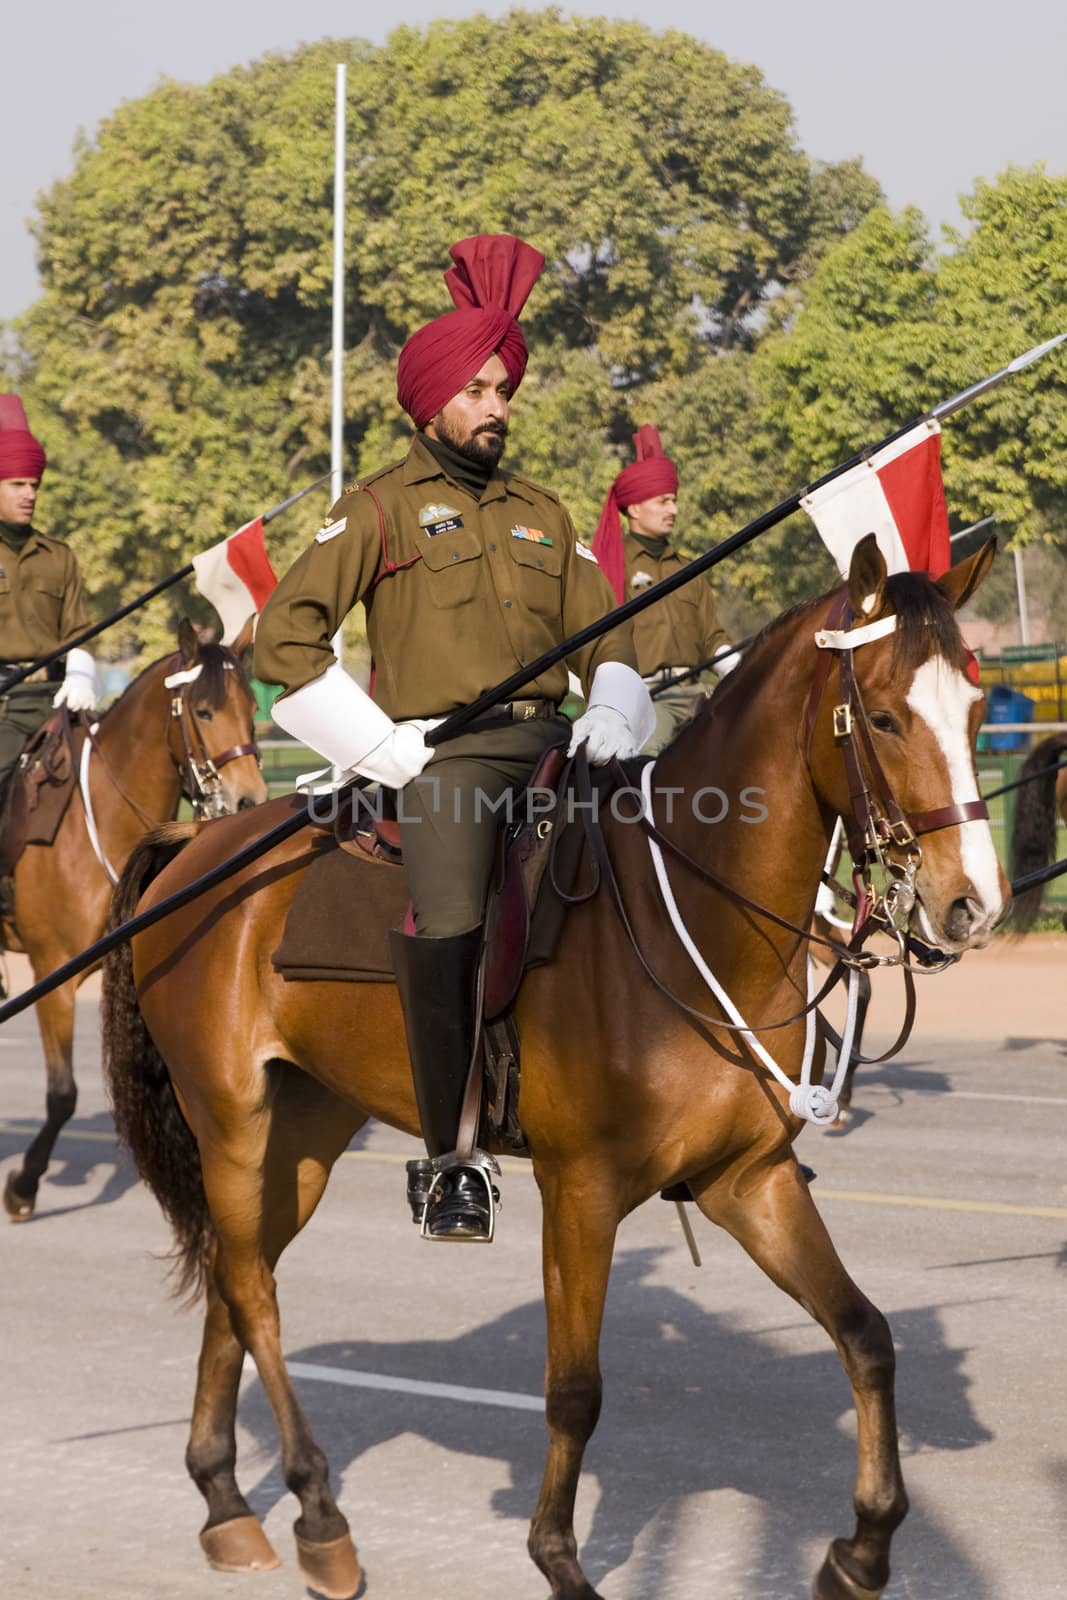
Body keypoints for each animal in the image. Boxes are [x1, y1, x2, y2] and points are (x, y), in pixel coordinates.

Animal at [1, 617, 265, 1216]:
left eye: (252, 708)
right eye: (204, 711)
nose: (248, 800)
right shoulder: (53, 976)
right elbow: (63, 1095)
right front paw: (24, 1185)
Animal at [102, 537, 1011, 1600]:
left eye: (977, 710)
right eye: (883, 716)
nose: (972, 906)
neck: (687, 915)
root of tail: (195, 843)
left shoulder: (748, 1179)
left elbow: (865, 1335)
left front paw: (862, 1547)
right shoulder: (580, 1190)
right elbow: (574, 1389)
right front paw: (559, 1562)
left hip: (304, 1135)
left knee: (236, 1278)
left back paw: (226, 1502)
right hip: (235, 1124)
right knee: (252, 1293)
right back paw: (319, 1514)